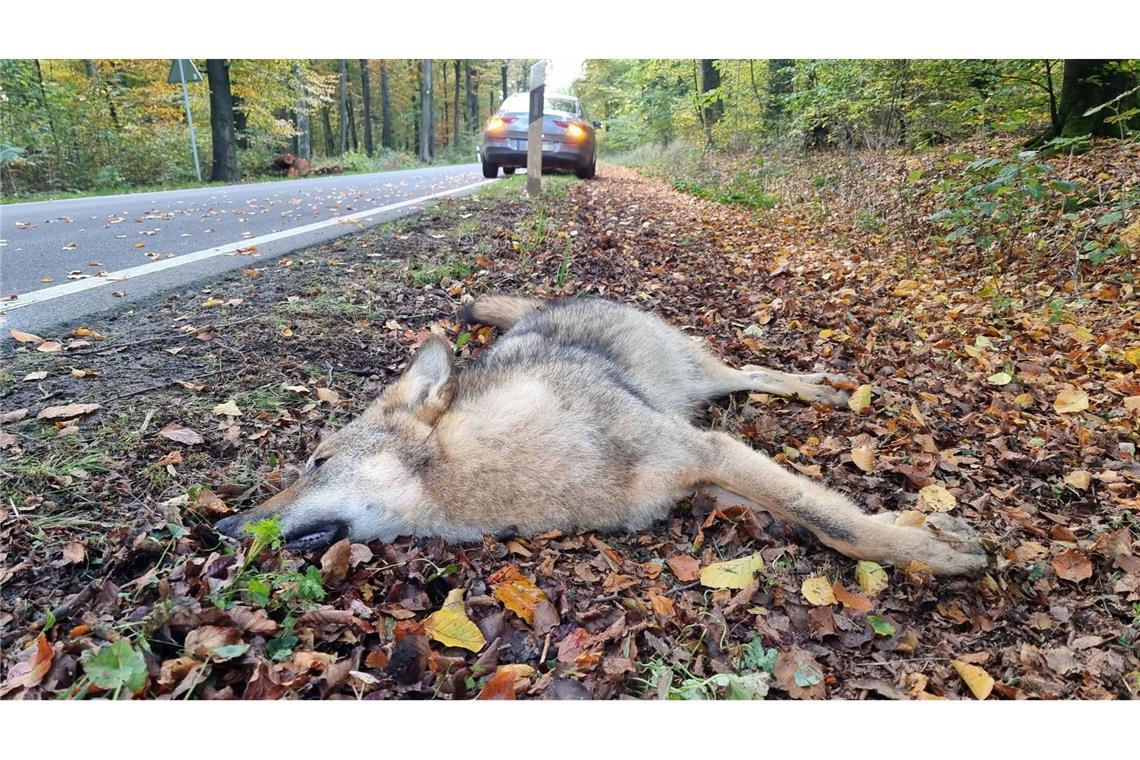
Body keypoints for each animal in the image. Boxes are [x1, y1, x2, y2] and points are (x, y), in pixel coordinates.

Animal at [217, 293, 984, 574]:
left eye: (316, 461)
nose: (219, 530)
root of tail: (559, 298)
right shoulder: (707, 480)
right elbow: (818, 512)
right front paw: (926, 534)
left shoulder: (707, 450)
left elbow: (836, 523)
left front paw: (930, 552)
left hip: (701, 381)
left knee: (753, 370)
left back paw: (823, 389)